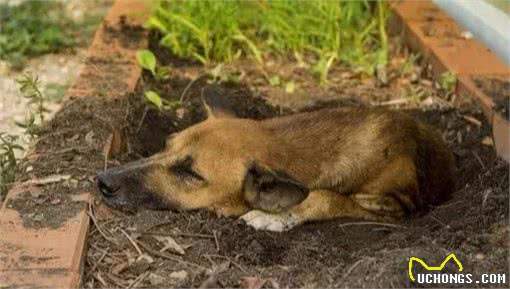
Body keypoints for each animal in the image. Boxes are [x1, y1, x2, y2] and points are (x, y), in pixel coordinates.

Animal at [96, 102, 454, 231]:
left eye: (190, 174)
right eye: (166, 145)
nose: (103, 180)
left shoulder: (397, 207)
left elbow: (327, 196)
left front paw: (278, 216)